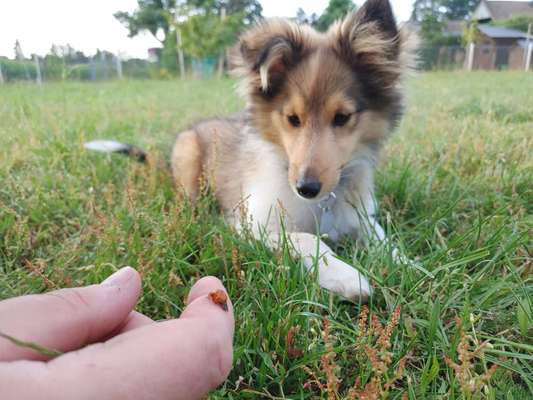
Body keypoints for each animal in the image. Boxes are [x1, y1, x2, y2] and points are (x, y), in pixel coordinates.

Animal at [86, 0, 412, 302]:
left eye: (342, 117)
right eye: (292, 118)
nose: (306, 188)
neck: (322, 204)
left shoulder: (360, 217)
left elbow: (383, 238)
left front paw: (407, 264)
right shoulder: (252, 225)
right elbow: (307, 238)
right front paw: (344, 276)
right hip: (188, 153)